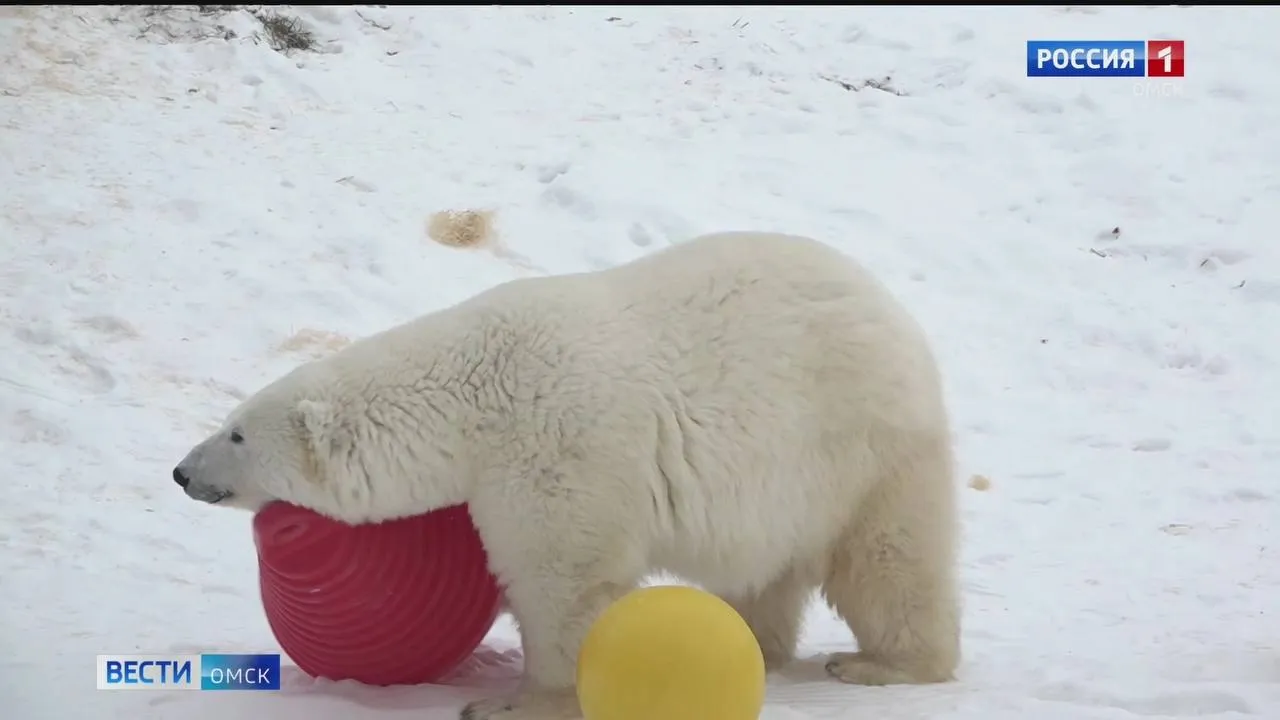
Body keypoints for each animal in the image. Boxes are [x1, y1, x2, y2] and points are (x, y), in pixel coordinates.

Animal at [177, 229, 962, 717]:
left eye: (236, 432)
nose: (182, 471)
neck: (473, 389)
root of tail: (899, 318)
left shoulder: (556, 450)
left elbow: (562, 581)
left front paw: (512, 701)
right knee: (761, 573)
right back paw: (758, 646)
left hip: (858, 448)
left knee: (887, 560)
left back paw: (884, 663)